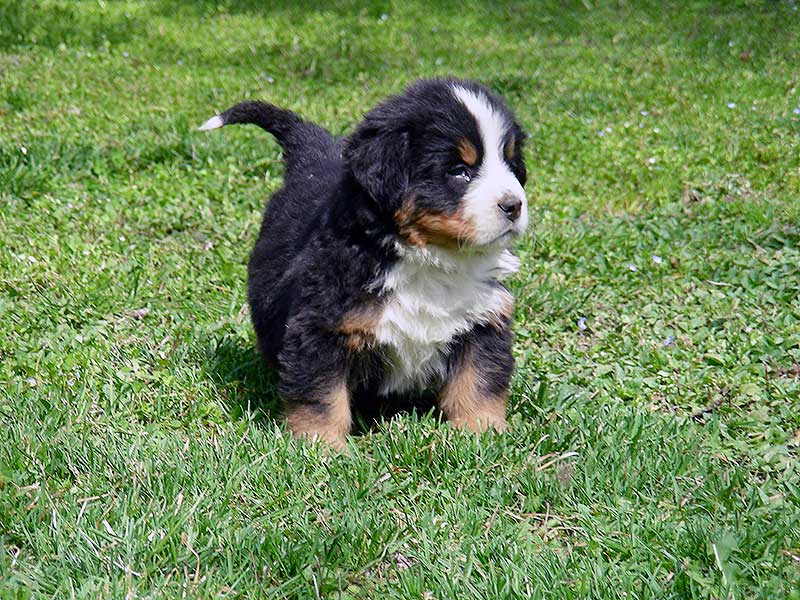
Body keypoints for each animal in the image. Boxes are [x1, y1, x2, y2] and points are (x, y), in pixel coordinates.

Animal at [200, 77, 528, 448]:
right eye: (459, 171)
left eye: (510, 164)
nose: (514, 205)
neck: (431, 260)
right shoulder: (321, 327)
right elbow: (322, 394)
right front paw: (321, 445)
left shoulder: (484, 320)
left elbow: (479, 381)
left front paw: (483, 434)